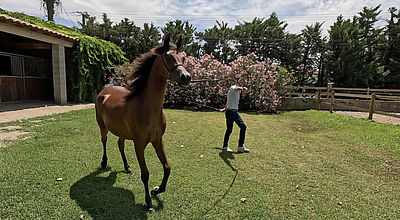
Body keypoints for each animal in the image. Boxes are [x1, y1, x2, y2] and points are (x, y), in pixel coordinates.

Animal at [96, 34, 191, 211]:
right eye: (167, 56)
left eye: (183, 57)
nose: (186, 77)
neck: (148, 109)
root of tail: (105, 90)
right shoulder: (139, 145)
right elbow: (145, 174)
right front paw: (149, 202)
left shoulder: (157, 140)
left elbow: (167, 167)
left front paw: (157, 190)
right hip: (103, 127)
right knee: (104, 141)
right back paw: (104, 162)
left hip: (122, 132)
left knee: (120, 145)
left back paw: (127, 168)